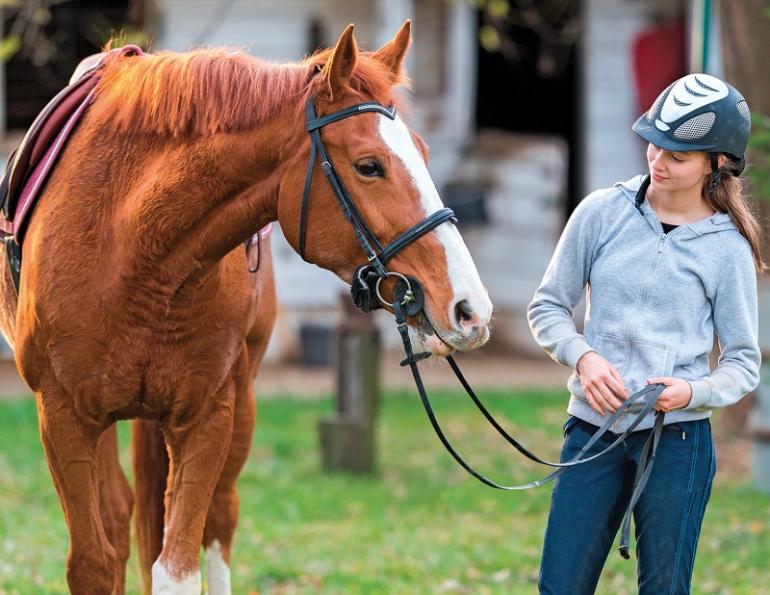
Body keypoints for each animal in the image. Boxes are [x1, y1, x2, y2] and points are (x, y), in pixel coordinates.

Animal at [0, 21, 492, 593]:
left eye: (425, 154)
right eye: (369, 166)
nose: (470, 308)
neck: (133, 251)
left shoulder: (207, 417)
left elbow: (179, 567)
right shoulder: (63, 419)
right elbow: (94, 564)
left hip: (241, 403)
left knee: (219, 518)